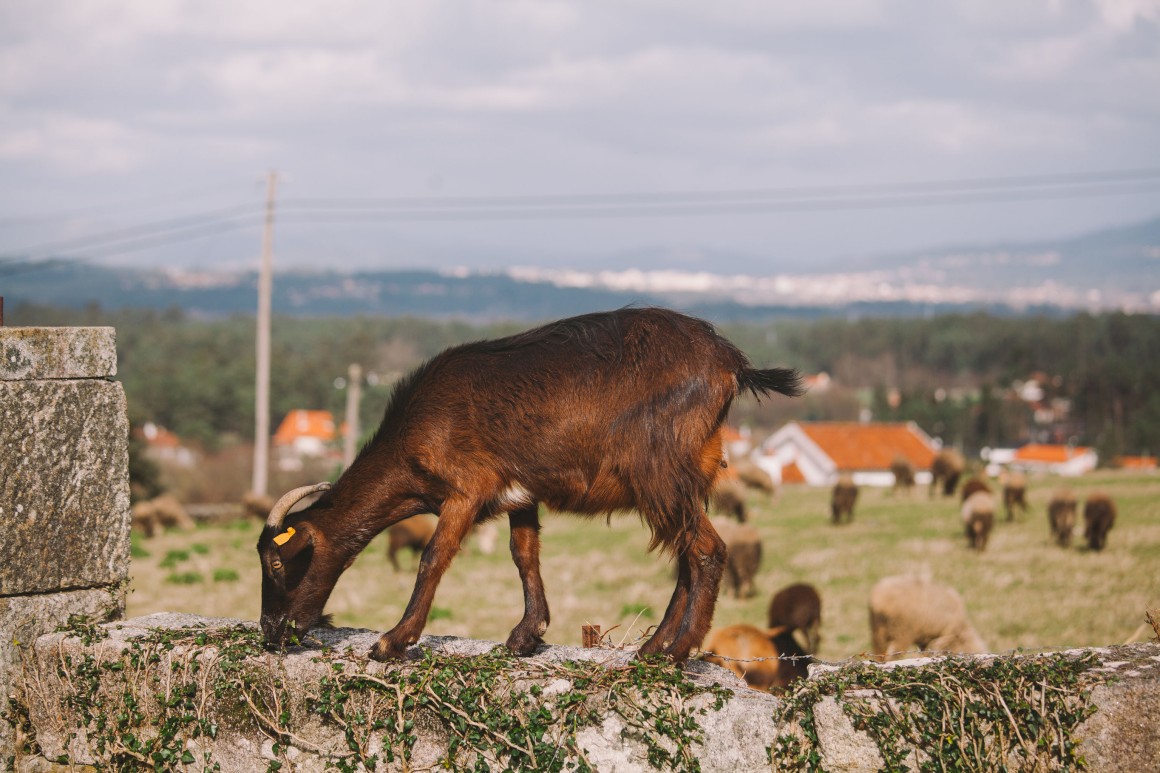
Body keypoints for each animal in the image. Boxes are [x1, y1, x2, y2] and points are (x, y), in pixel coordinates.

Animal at [255, 306, 802, 663]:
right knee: (686, 555)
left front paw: (393, 640)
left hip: (660, 473)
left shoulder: (465, 490)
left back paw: (680, 651)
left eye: (278, 562)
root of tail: (730, 362)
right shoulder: (519, 494)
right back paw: (651, 648)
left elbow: (434, 557)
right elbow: (524, 555)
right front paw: (526, 634)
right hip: (690, 477)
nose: (271, 633)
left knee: (707, 550)